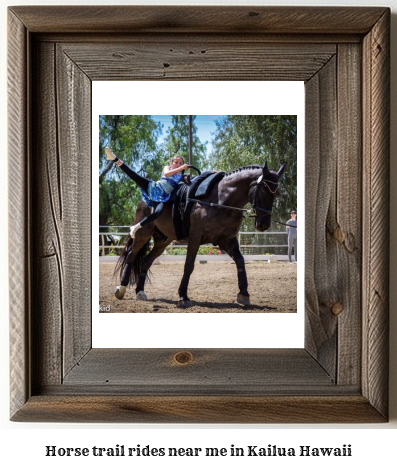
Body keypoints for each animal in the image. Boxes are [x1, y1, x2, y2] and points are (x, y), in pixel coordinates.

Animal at [113, 162, 284, 308]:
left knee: (146, 261)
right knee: (131, 256)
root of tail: (145, 198)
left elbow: (240, 261)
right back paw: (121, 289)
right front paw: (183, 296)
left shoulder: (227, 240)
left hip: (163, 241)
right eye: (264, 189)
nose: (263, 224)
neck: (221, 200)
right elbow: (189, 265)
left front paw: (244, 294)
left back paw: (140, 291)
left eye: (277, 193)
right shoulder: (195, 239)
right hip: (143, 234)